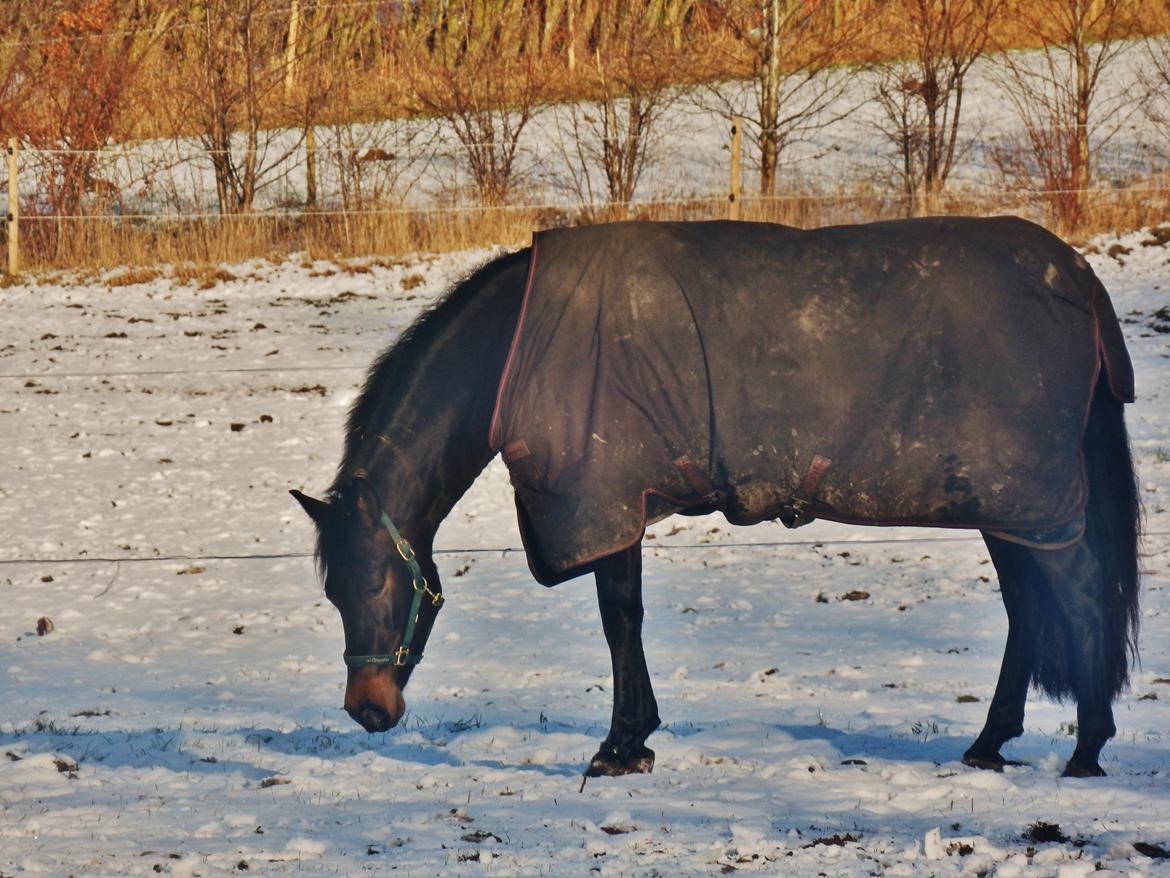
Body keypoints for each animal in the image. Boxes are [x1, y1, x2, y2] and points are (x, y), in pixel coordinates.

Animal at [292, 218, 1141, 777]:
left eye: (374, 584)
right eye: (329, 595)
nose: (367, 709)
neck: (515, 350)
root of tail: (1078, 278)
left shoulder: (603, 500)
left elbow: (619, 620)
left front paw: (620, 747)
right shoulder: (616, 503)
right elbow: (625, 620)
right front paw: (635, 739)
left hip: (1028, 501)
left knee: (1075, 595)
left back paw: (1086, 748)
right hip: (1012, 508)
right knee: (1031, 608)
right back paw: (992, 743)